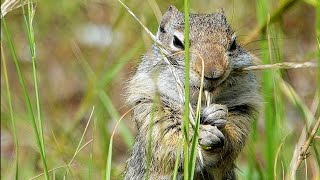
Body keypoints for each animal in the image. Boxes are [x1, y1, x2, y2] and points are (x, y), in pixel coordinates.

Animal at [124, 4, 262, 179]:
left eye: (234, 43)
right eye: (176, 42)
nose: (213, 72)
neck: (197, 103)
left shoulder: (241, 113)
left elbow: (232, 143)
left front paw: (218, 114)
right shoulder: (154, 111)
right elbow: (174, 143)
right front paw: (204, 135)